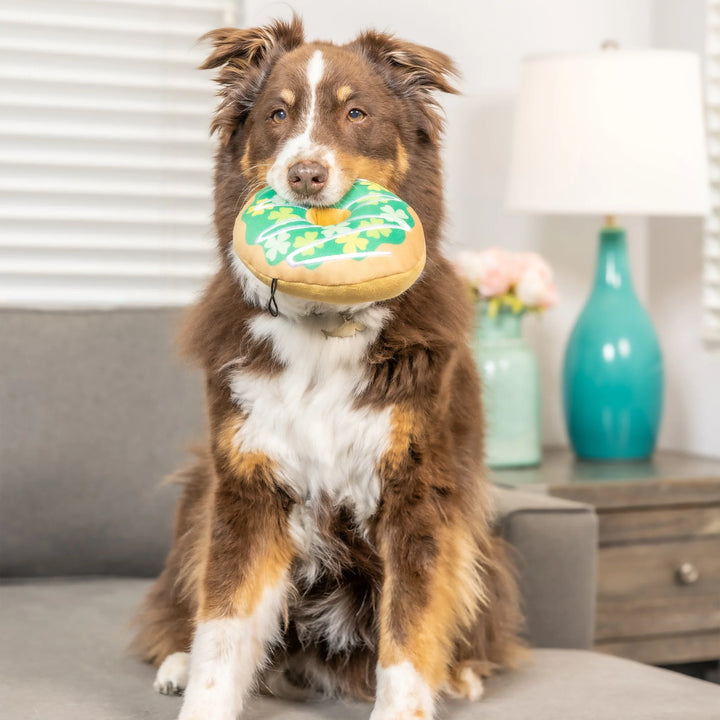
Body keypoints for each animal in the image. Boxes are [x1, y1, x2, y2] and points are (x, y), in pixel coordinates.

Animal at [132, 16, 524, 720]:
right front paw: (201, 688)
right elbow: (223, 629)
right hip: (199, 492)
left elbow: (408, 635)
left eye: (356, 113)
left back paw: (462, 674)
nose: (305, 175)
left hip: (482, 539)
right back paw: (177, 657)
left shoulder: (419, 495)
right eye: (278, 114)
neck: (323, 325)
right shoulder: (247, 485)